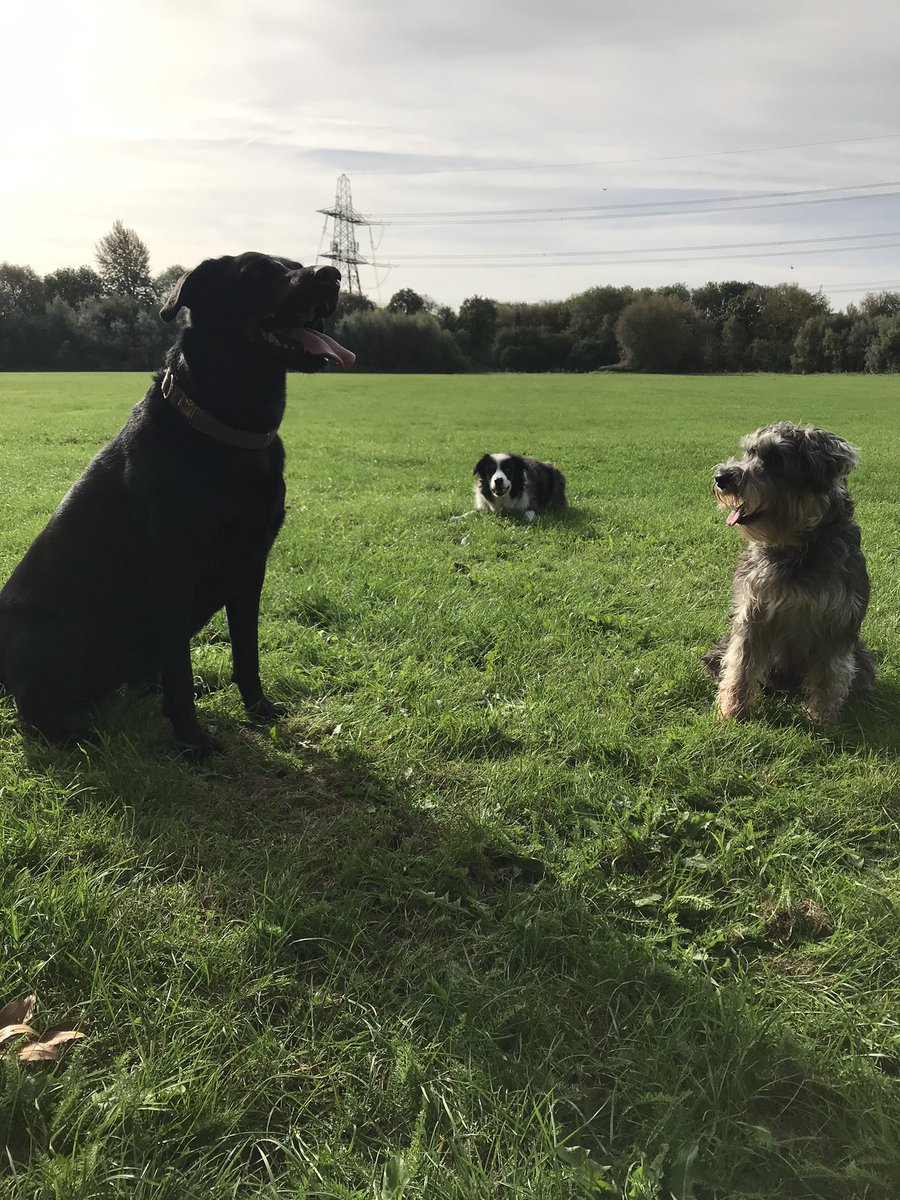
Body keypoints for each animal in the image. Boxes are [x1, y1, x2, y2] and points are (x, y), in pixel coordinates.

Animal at [0, 252, 355, 753]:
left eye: (295, 263)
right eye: (256, 272)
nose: (333, 274)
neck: (227, 431)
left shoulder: (251, 566)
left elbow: (246, 652)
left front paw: (259, 710)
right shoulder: (172, 572)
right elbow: (180, 670)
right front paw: (193, 741)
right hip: (52, 636)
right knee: (31, 706)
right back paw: (75, 733)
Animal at [700, 422, 878, 720]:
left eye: (774, 460)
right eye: (748, 452)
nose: (722, 477)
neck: (795, 548)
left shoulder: (838, 619)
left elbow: (831, 672)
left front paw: (821, 715)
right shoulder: (752, 612)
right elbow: (741, 666)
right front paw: (733, 710)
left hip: (862, 658)